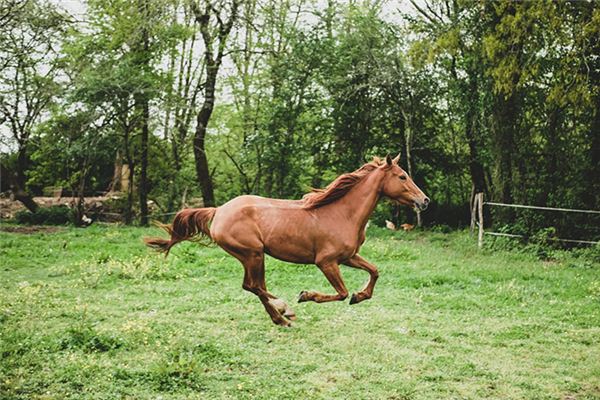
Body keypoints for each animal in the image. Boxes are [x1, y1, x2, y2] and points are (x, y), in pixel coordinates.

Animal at [144, 155, 426, 326]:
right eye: (402, 176)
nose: (424, 201)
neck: (342, 213)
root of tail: (219, 210)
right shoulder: (326, 262)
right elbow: (341, 292)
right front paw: (307, 295)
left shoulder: (348, 257)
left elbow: (374, 271)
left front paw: (360, 296)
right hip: (252, 254)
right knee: (254, 286)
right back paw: (284, 312)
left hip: (253, 257)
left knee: (254, 286)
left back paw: (281, 314)